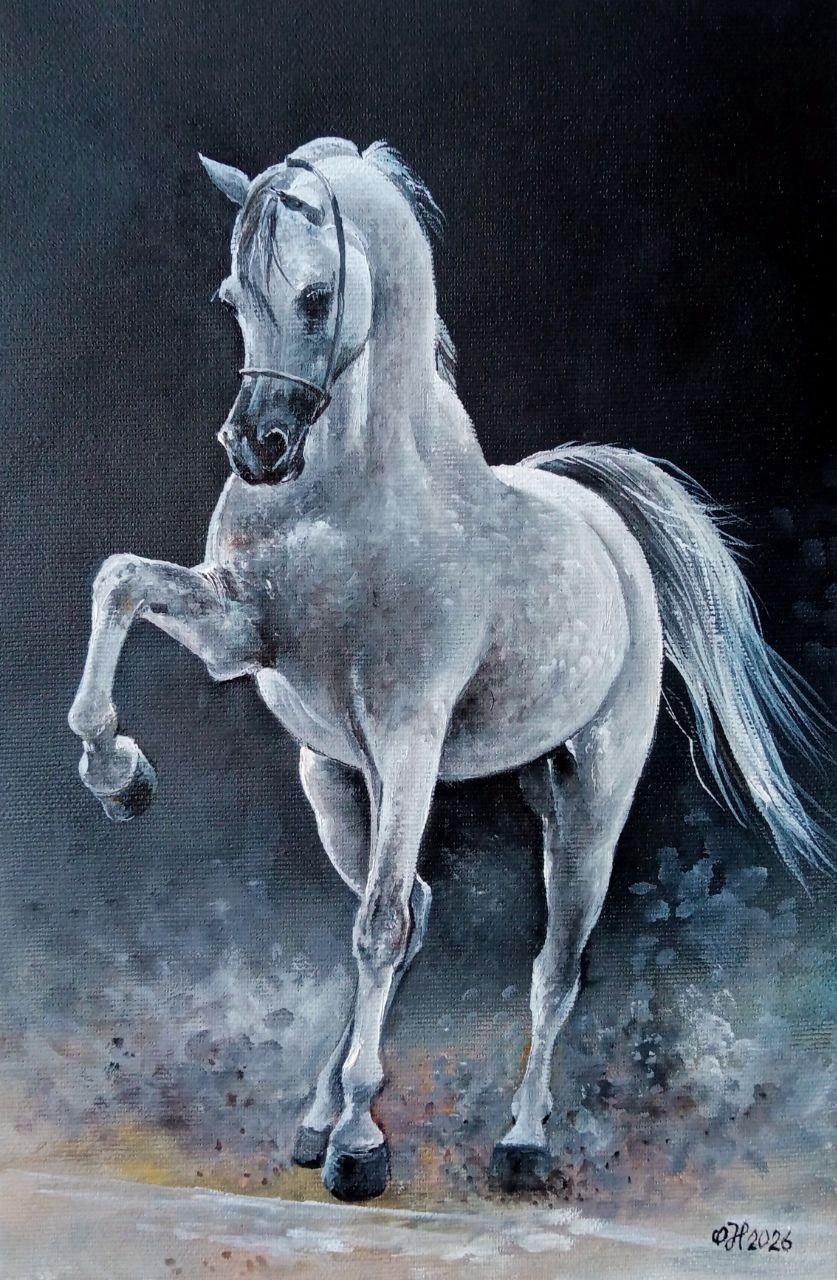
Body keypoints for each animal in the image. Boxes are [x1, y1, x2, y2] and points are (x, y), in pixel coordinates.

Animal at [68, 136, 832, 1202]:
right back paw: (317, 1116)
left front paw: (362, 1152)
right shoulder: (237, 640)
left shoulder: (409, 739)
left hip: (584, 802)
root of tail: (604, 528)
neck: (349, 497)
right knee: (419, 912)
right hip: (335, 781)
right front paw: (118, 775)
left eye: (315, 296)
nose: (255, 449)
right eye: (231, 296)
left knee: (548, 967)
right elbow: (118, 582)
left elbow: (380, 928)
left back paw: (519, 1143)